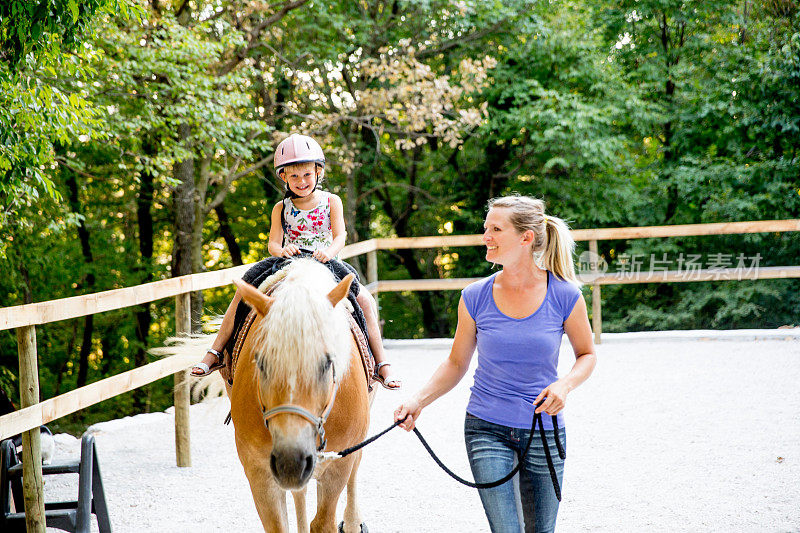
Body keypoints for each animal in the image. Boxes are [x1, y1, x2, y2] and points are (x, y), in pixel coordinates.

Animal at [227, 256, 374, 528]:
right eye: (262, 363)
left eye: (327, 363)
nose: (290, 462)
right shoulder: (258, 471)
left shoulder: (338, 464)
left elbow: (323, 522)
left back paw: (352, 522)